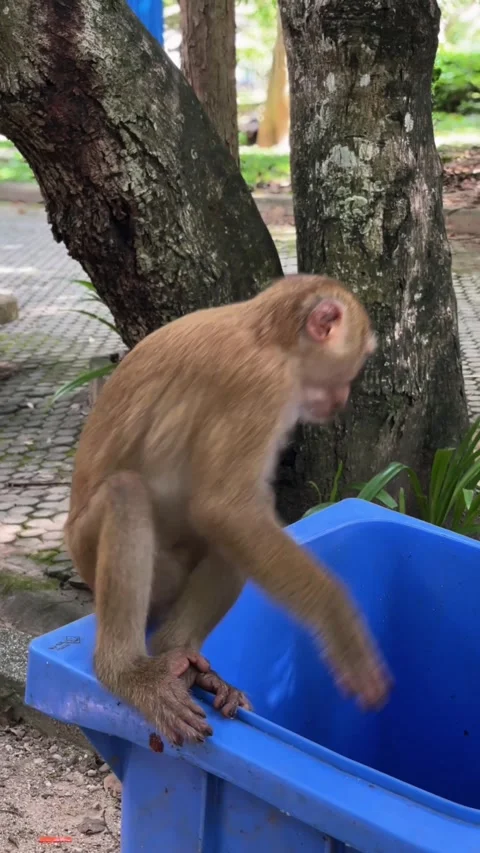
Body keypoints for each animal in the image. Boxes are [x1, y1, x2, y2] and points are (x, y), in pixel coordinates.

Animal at [64, 273, 391, 747]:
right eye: (360, 357)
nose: (345, 395)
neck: (270, 336)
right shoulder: (262, 386)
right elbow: (227, 509)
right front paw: (342, 628)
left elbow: (233, 515)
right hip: (101, 555)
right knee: (129, 495)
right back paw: (126, 671)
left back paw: (178, 652)